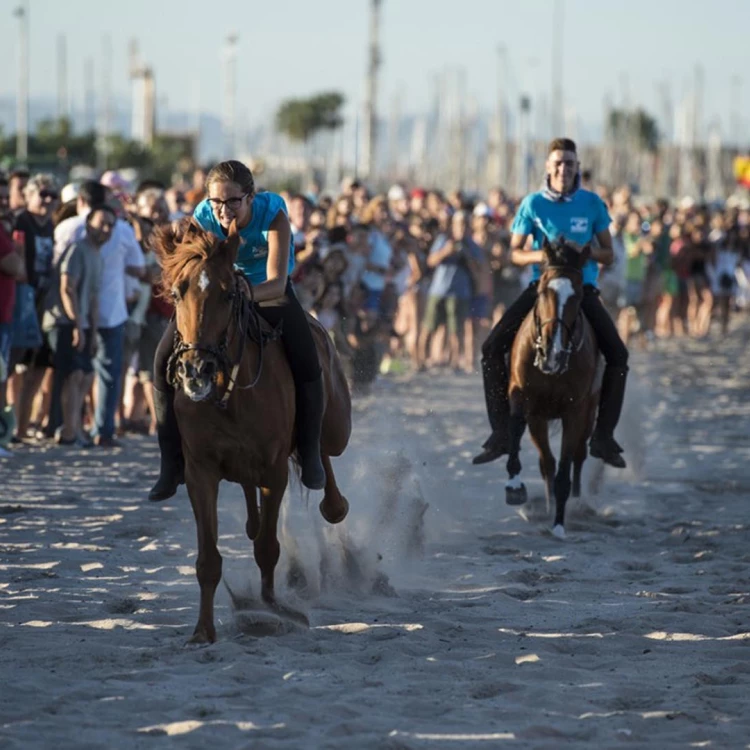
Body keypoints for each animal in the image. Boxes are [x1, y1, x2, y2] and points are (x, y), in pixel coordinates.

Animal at [154, 220, 354, 644]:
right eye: (177, 293)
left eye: (229, 293)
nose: (195, 370)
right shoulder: (200, 472)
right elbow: (208, 560)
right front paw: (203, 631)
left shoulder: (273, 471)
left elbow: (267, 548)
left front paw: (272, 609)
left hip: (336, 426)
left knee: (322, 450)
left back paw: (333, 501)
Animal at [502, 238, 604, 536]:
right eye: (542, 290)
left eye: (579, 295)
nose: (553, 352)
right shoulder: (525, 401)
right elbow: (517, 430)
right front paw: (515, 486)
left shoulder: (575, 411)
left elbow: (565, 466)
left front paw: (559, 524)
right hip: (540, 418)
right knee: (546, 461)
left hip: (590, 411)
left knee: (579, 456)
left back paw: (577, 504)